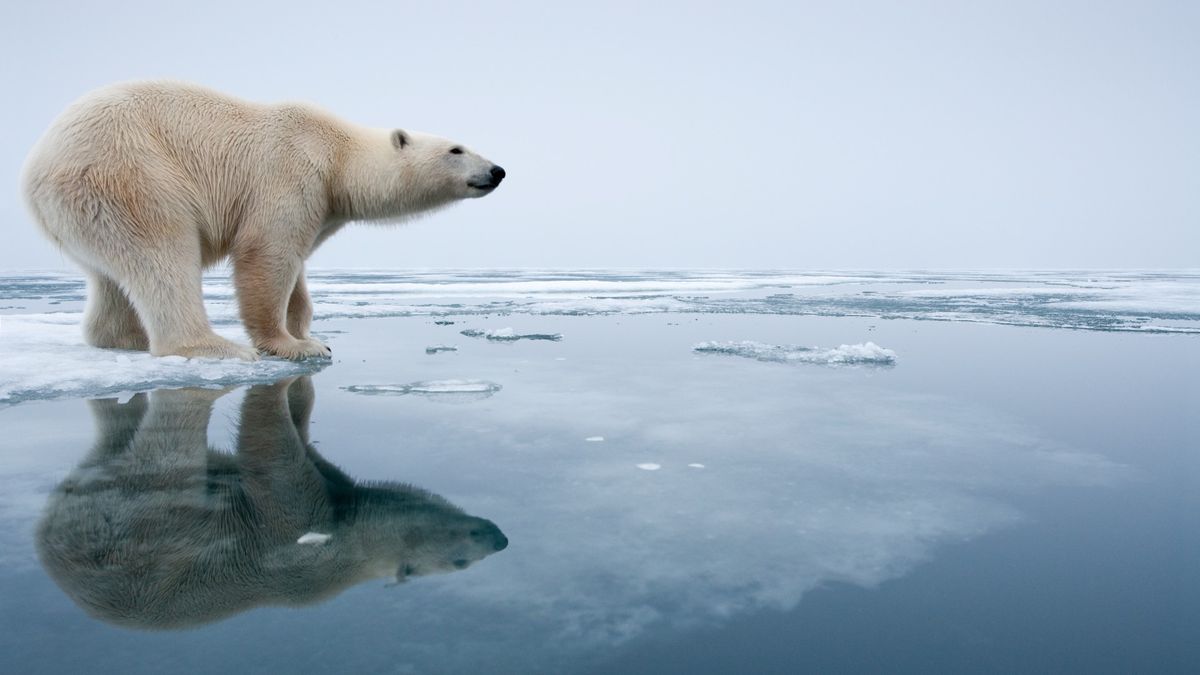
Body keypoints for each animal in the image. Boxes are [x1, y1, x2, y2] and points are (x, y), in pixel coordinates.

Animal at [23, 79, 501, 357]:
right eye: (457, 149)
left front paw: (311, 335)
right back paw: (213, 347)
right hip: (130, 174)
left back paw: (127, 338)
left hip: (86, 209)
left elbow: (299, 268)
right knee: (163, 253)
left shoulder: (321, 206)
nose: (497, 170)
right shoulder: (292, 173)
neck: (337, 154)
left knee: (111, 274)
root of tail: (34, 171)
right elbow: (267, 254)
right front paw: (290, 346)